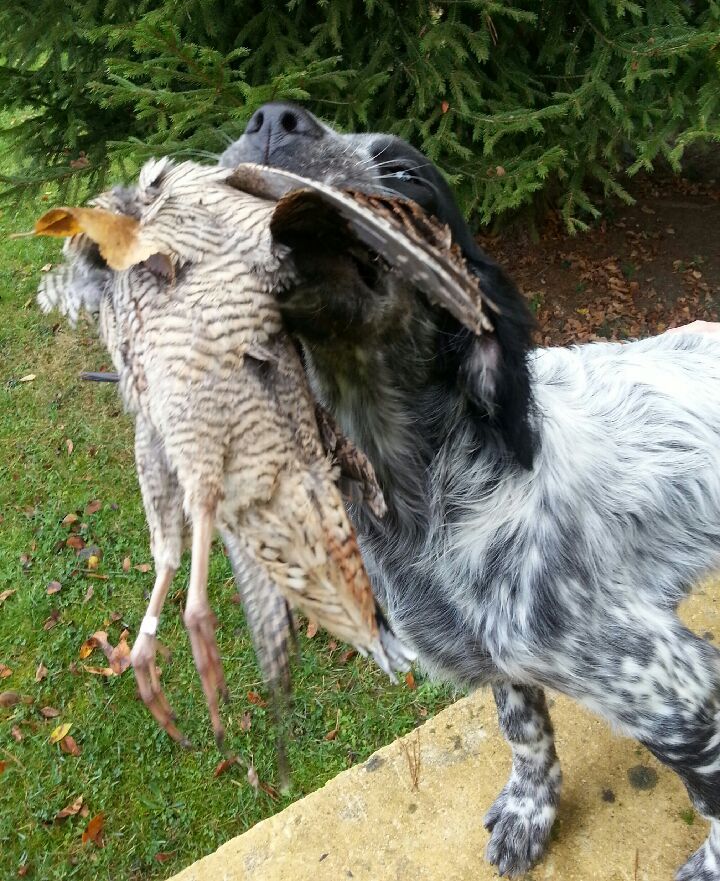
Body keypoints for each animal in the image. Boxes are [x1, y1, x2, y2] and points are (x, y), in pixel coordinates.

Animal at [222, 105, 720, 880]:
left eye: (405, 173)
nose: (274, 118)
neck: (427, 498)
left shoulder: (676, 692)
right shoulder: (502, 659)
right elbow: (524, 730)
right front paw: (530, 812)